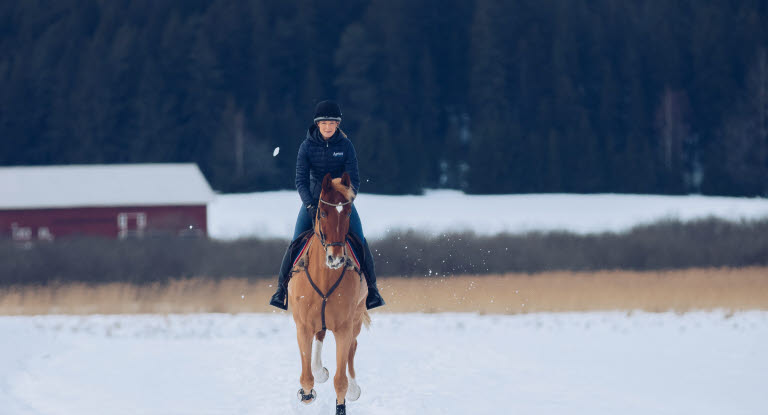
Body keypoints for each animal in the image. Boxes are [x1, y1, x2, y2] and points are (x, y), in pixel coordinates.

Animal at [288, 171, 372, 415]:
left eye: (348, 212)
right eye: (323, 212)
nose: (336, 258)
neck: (325, 277)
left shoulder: (344, 327)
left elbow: (340, 380)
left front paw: (345, 397)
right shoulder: (303, 326)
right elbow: (306, 377)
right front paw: (308, 390)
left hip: (356, 318)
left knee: (353, 346)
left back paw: (353, 388)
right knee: (320, 336)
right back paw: (320, 371)